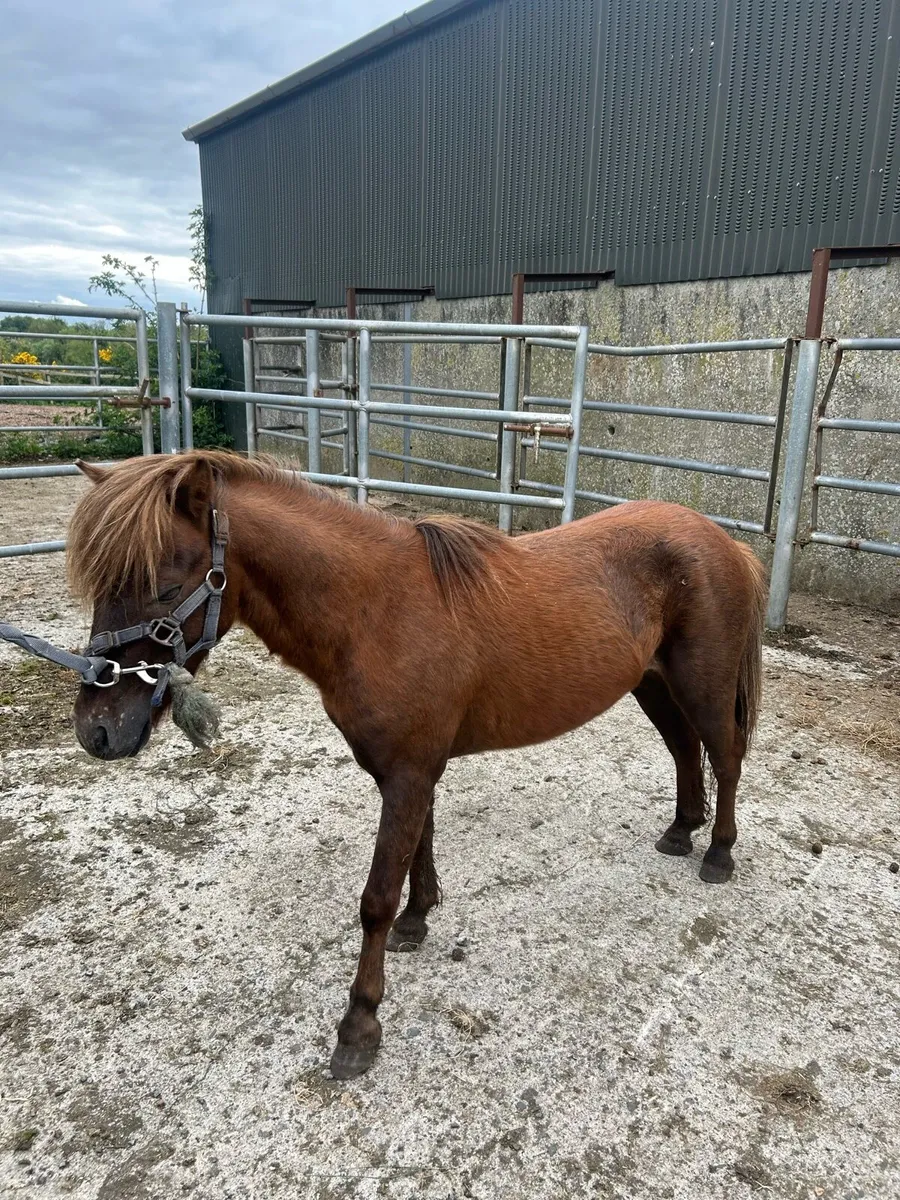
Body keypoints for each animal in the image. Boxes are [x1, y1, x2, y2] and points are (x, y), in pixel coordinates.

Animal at [67, 450, 766, 1079]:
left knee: (726, 758)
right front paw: (419, 917)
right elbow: (419, 849)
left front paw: (358, 1027)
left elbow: (375, 897)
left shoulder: (407, 773)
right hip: (653, 684)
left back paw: (718, 853)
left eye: (163, 586)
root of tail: (724, 543)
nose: (97, 730)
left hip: (701, 686)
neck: (375, 611)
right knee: (684, 751)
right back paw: (681, 831)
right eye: (101, 588)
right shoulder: (412, 769)